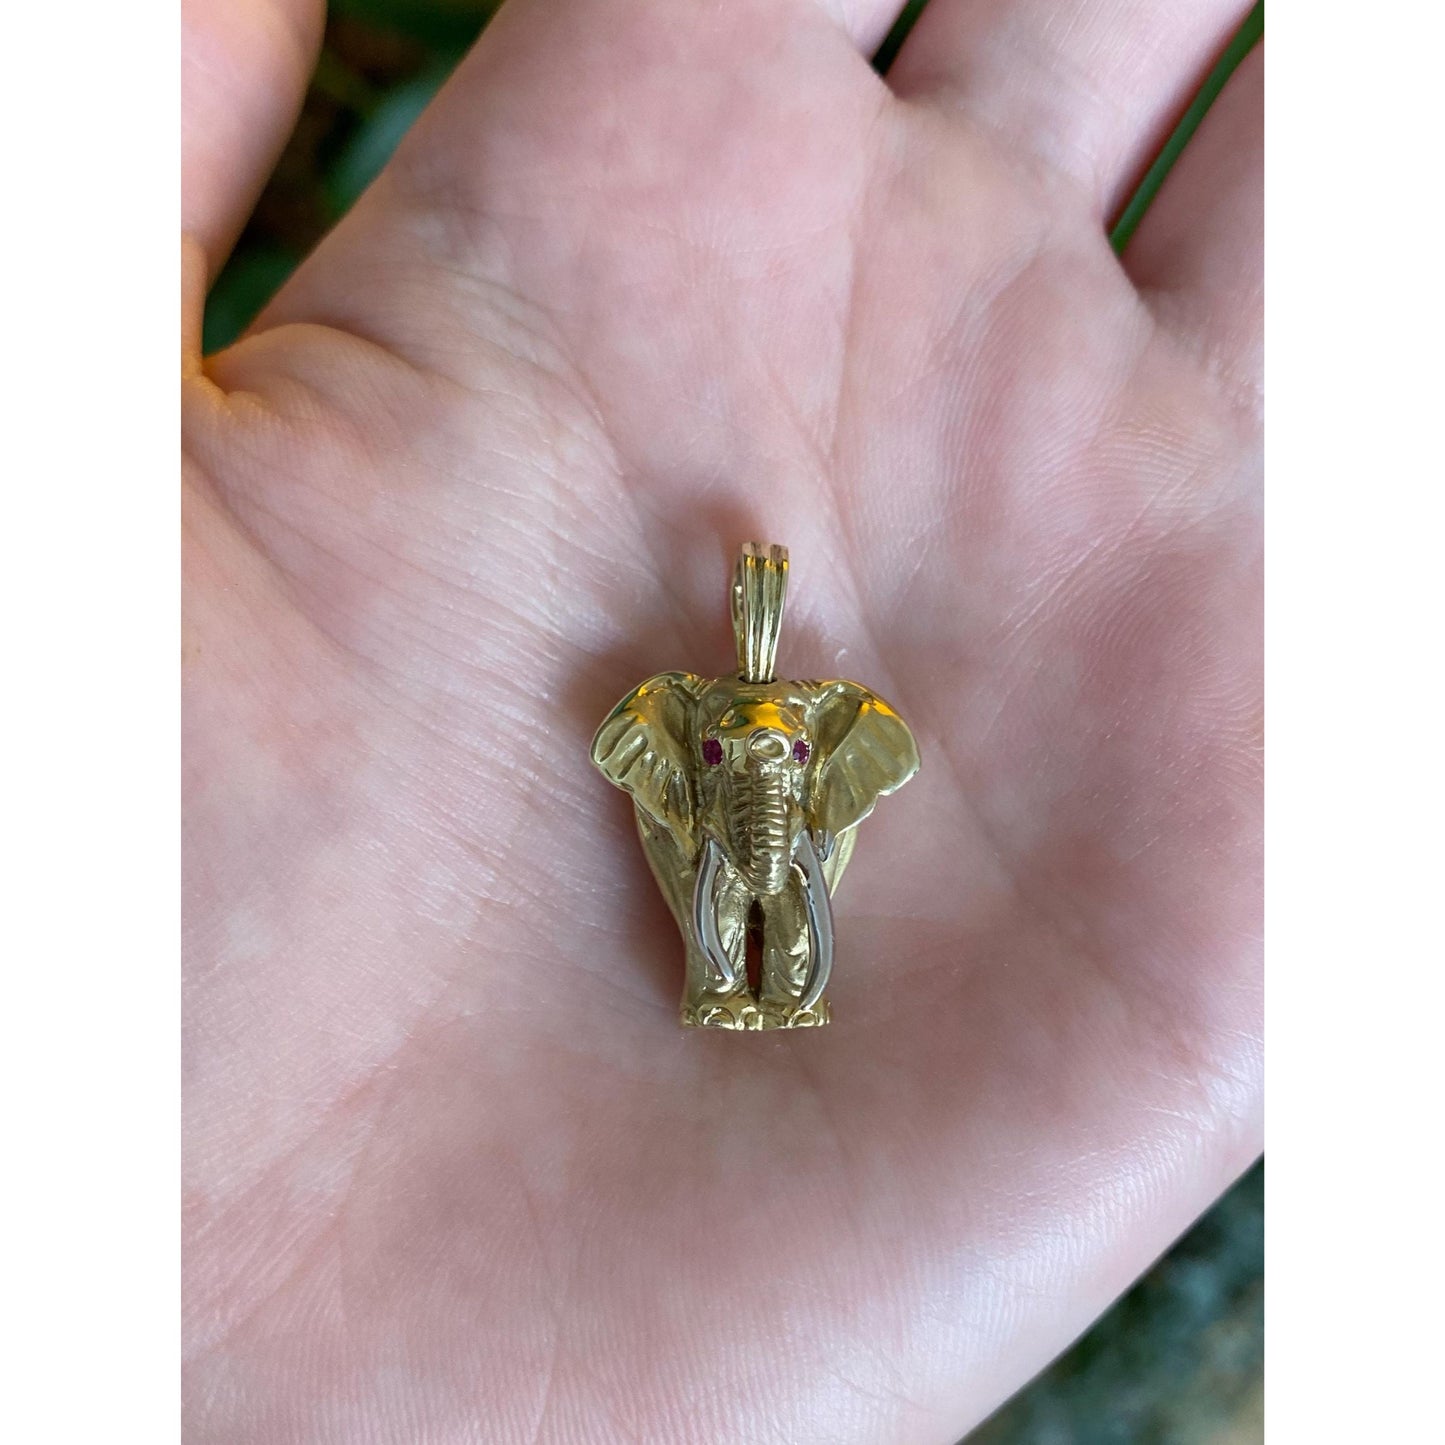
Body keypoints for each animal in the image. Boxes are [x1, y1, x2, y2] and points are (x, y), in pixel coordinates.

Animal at [591, 669, 919, 1029]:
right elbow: (714, 906)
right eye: (711, 752)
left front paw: (798, 1017)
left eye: (803, 753)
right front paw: (723, 1016)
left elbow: (797, 913)